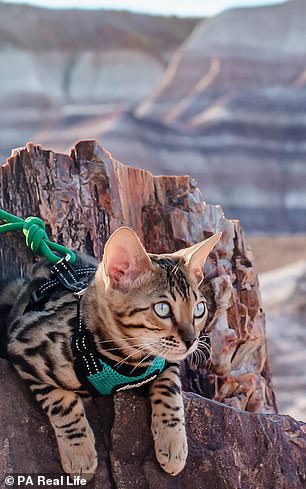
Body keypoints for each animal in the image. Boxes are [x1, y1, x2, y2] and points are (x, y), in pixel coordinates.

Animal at [0, 227, 220, 478]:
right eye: (162, 309)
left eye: (199, 309)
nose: (192, 341)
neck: (129, 361)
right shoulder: (21, 342)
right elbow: (61, 401)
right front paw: (79, 453)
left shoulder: (166, 361)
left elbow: (170, 389)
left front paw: (173, 444)